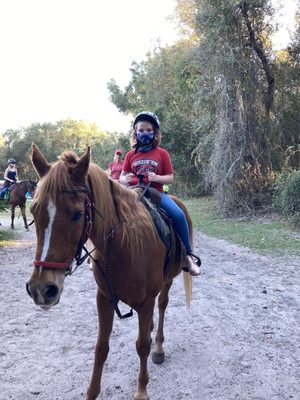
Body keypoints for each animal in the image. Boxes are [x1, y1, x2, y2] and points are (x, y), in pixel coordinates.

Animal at [25, 145, 195, 400]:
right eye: (34, 210)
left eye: (77, 214)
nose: (41, 289)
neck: (123, 246)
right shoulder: (104, 299)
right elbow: (101, 348)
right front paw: (91, 393)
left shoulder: (145, 302)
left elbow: (142, 346)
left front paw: (141, 391)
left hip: (167, 283)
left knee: (162, 306)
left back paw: (159, 347)